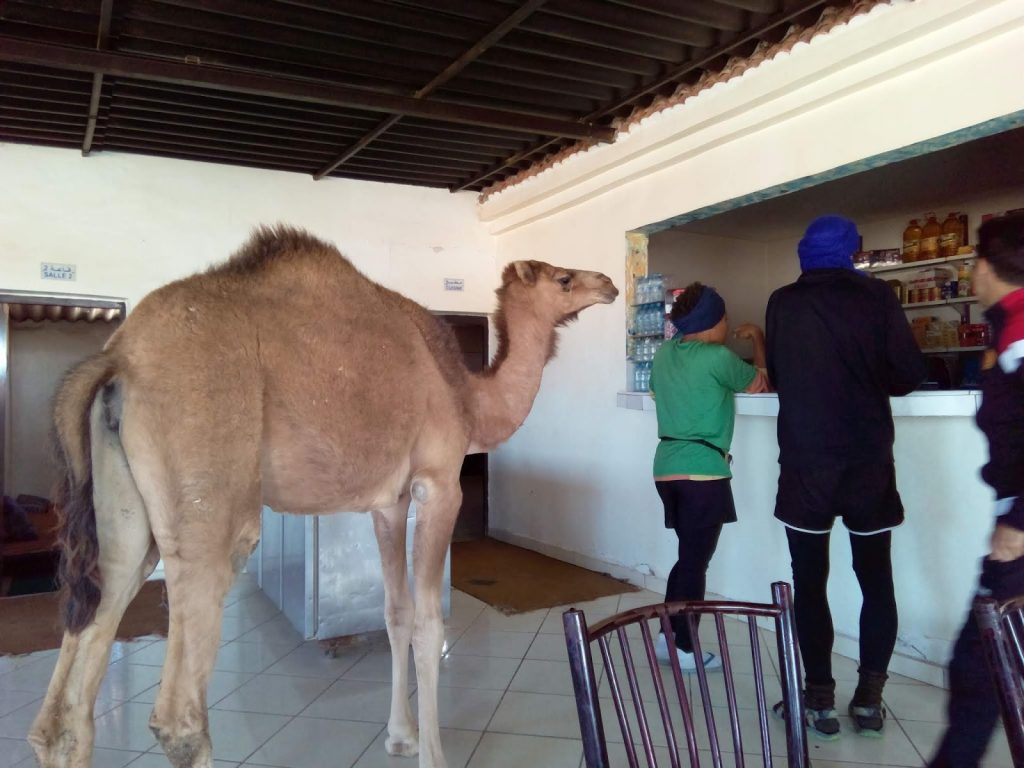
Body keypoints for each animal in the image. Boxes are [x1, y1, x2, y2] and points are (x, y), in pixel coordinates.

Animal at [27, 225, 617, 768]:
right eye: (564, 278)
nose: (609, 283)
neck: (469, 398)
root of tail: (117, 359)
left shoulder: (388, 503)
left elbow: (395, 611)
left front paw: (399, 738)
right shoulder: (437, 485)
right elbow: (429, 624)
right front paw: (432, 754)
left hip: (124, 521)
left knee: (68, 706)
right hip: (209, 505)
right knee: (180, 717)